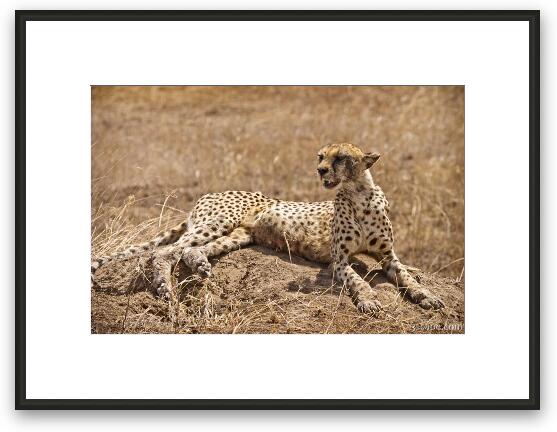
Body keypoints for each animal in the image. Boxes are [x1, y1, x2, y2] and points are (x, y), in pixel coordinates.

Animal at [93, 143, 446, 312]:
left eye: (341, 157)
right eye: (320, 156)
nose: (320, 170)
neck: (359, 193)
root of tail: (210, 193)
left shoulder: (388, 256)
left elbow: (407, 277)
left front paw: (427, 297)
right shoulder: (340, 260)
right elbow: (357, 279)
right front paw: (370, 299)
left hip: (238, 235)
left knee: (194, 250)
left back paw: (201, 266)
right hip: (219, 221)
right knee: (165, 251)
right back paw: (165, 289)